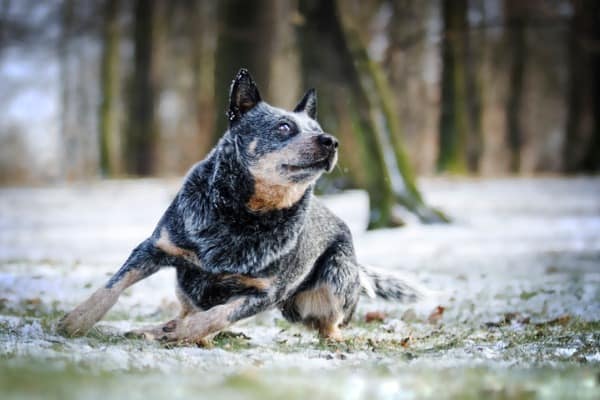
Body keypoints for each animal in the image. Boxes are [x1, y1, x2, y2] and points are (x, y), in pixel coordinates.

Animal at [57, 69, 422, 344]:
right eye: (284, 127)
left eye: (318, 130)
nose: (331, 141)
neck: (241, 216)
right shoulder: (154, 247)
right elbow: (112, 287)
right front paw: (77, 320)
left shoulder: (266, 292)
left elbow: (219, 316)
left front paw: (192, 332)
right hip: (186, 284)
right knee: (184, 308)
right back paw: (154, 329)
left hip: (331, 282)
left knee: (329, 322)